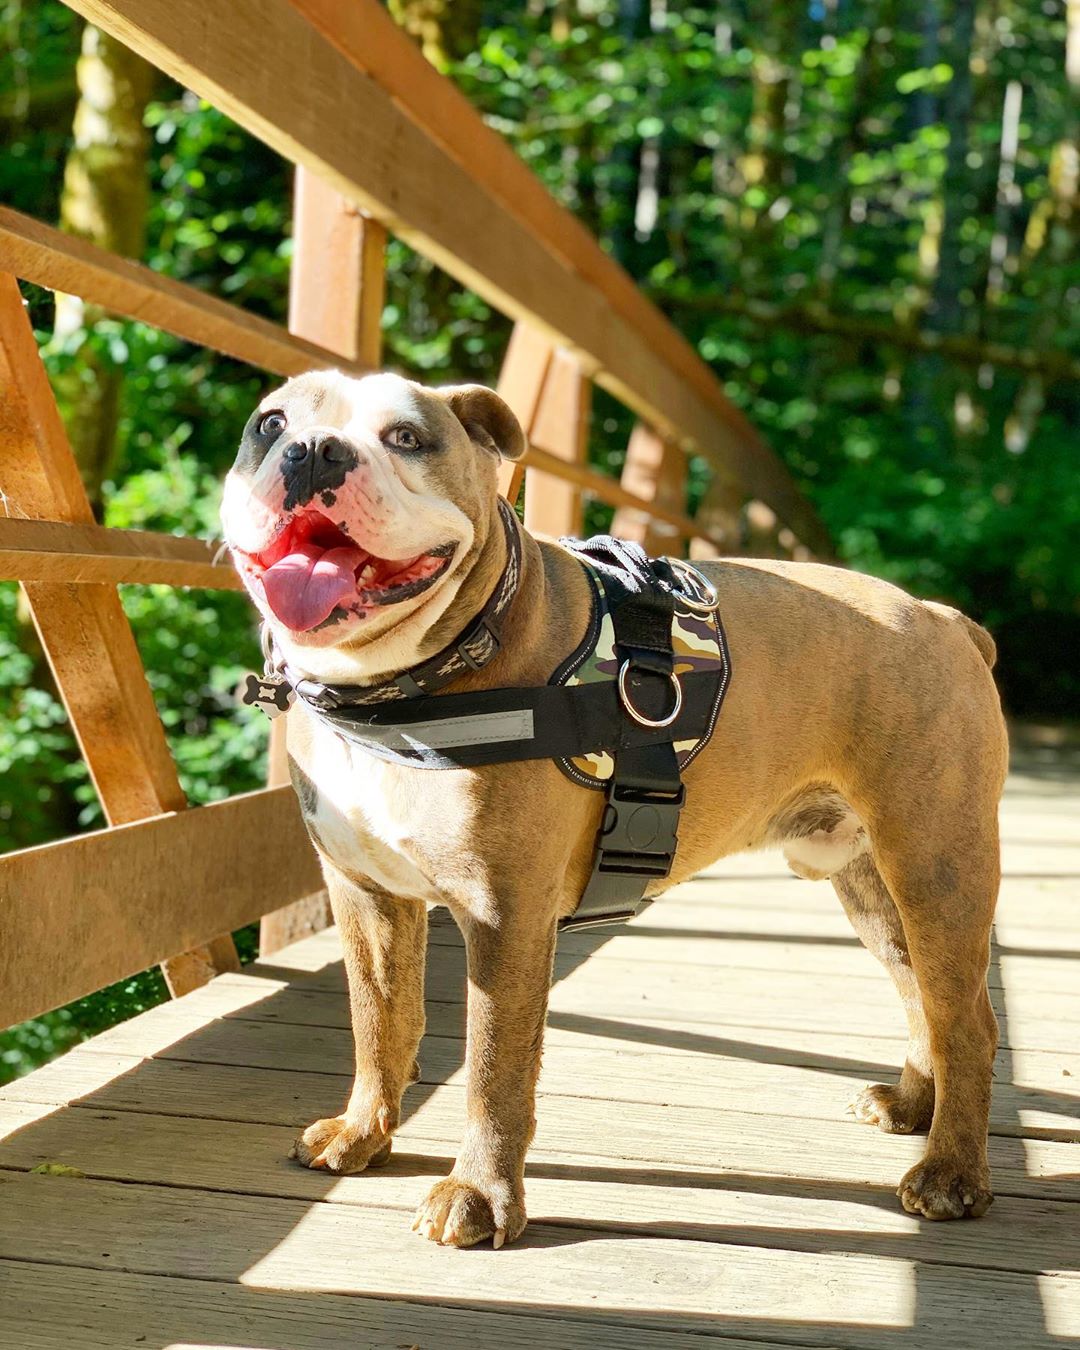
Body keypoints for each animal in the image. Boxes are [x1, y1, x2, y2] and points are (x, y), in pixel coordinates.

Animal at [224, 367, 1009, 1242]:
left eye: (406, 438)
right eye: (269, 423)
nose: (315, 450)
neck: (401, 688)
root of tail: (944, 618)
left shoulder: (504, 916)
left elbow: (493, 1067)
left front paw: (479, 1194)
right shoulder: (366, 896)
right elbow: (379, 1022)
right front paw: (363, 1130)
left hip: (937, 868)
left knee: (967, 1021)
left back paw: (951, 1174)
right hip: (876, 890)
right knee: (924, 997)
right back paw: (912, 1107)